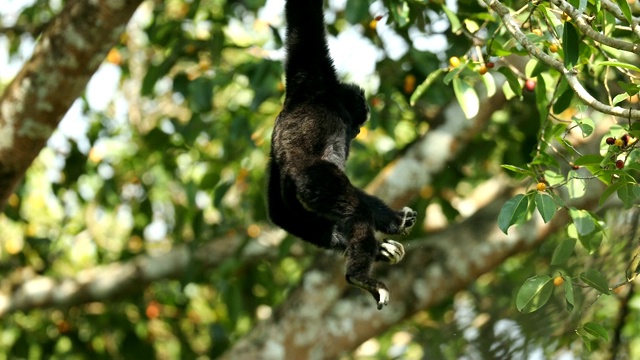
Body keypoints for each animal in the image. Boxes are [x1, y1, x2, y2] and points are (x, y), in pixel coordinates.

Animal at [268, 0, 418, 310]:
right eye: (358, 124)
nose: (358, 131)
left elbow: (277, 214)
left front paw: (388, 235)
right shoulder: (315, 74)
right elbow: (305, 19)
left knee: (287, 214)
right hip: (316, 180)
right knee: (354, 208)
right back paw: (360, 276)